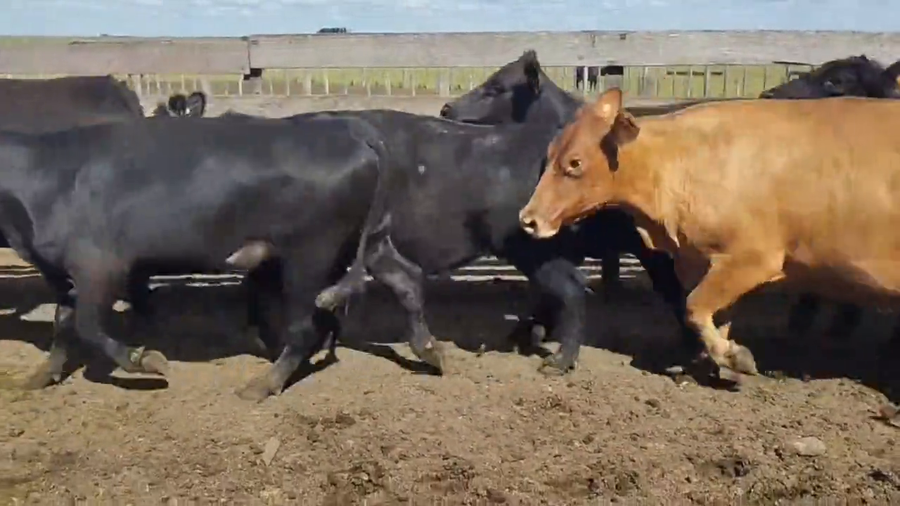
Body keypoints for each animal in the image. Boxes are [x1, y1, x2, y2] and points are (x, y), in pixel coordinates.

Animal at [1, 116, 394, 401]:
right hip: (337, 252)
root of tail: (347, 128)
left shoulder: (100, 267)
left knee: (303, 326)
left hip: (308, 254)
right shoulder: (58, 271)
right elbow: (62, 323)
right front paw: (40, 377)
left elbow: (88, 325)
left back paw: (263, 384)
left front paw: (145, 360)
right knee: (326, 317)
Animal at [518, 88, 900, 383]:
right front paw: (714, 363)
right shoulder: (709, 263)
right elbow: (716, 316)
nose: (528, 219)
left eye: (575, 163)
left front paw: (734, 358)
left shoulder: (751, 259)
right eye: (550, 154)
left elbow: (694, 306)